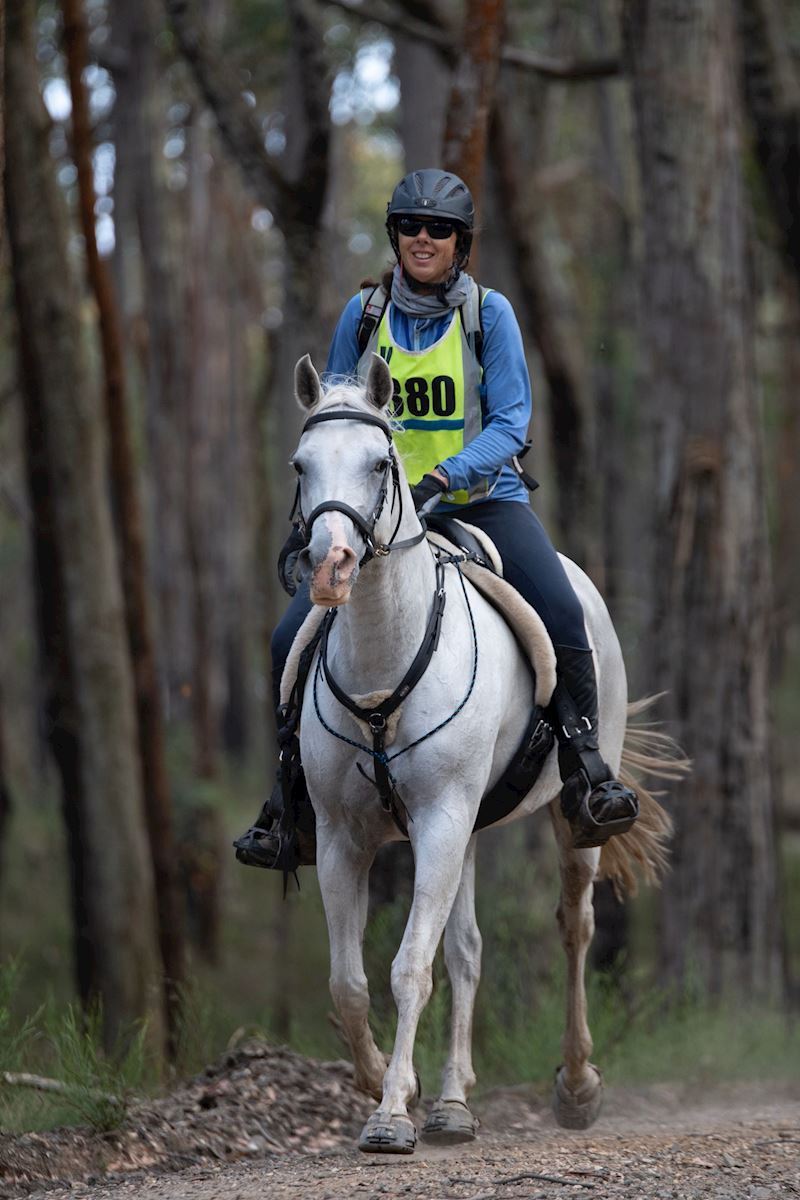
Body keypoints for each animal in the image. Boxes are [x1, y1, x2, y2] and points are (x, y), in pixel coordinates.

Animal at [287, 352, 677, 1154]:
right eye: (300, 466)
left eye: (380, 464)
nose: (331, 565)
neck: (383, 660)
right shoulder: (345, 835)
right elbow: (350, 982)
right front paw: (381, 1084)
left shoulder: (440, 818)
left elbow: (409, 967)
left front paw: (389, 1113)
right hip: (464, 832)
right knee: (466, 951)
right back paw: (453, 1103)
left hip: (560, 818)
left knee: (574, 927)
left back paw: (576, 1085)